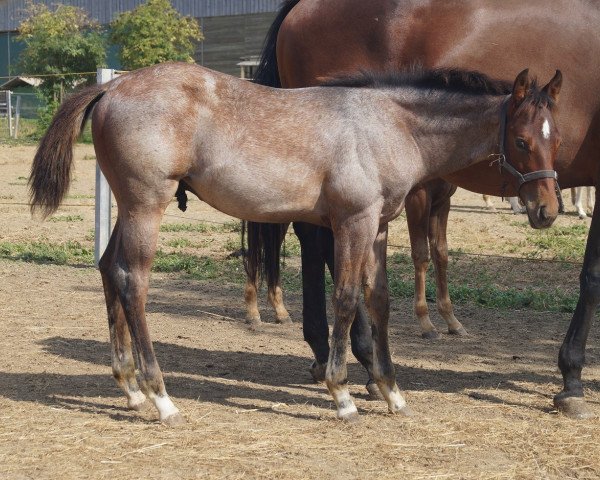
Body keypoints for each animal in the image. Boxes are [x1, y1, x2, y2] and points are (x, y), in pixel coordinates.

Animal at [28, 62, 564, 422]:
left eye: (555, 139)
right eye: (521, 141)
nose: (547, 210)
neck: (388, 124)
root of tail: (111, 85)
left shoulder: (378, 226)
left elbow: (379, 301)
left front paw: (391, 390)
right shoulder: (352, 223)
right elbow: (345, 301)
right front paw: (342, 393)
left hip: (130, 207)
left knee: (107, 268)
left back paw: (129, 387)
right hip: (146, 205)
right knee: (132, 281)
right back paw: (160, 396)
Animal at [245, 0, 600, 418]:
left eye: (558, 140)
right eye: (521, 142)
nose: (547, 208)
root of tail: (298, 8)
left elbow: (435, 253)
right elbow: (592, 277)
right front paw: (571, 381)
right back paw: (361, 361)